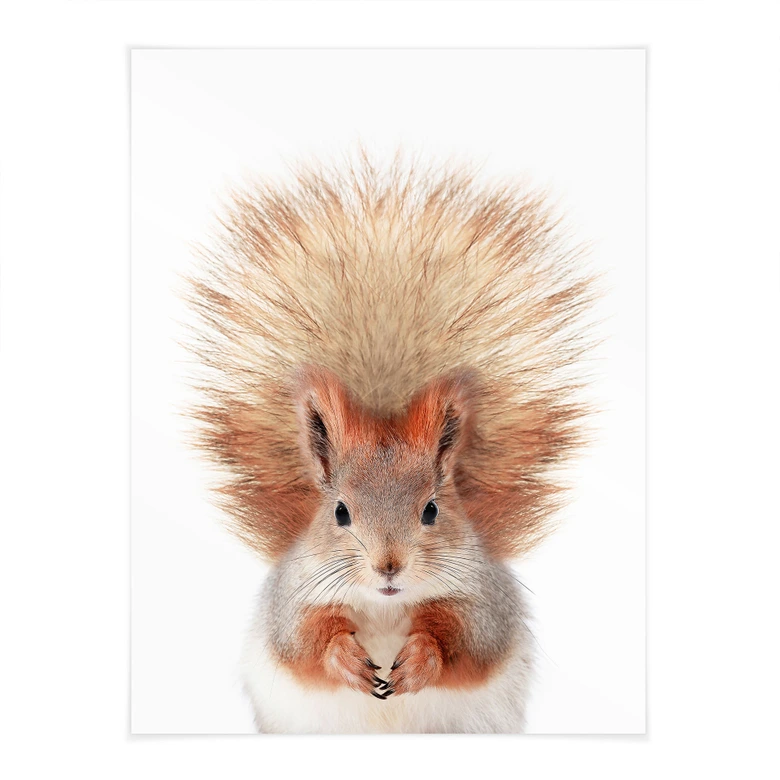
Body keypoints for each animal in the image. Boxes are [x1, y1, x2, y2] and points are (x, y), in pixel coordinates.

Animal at [184, 153, 595, 733]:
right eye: (339, 512)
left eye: (432, 510)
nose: (388, 566)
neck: (382, 605)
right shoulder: (294, 600)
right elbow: (305, 643)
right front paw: (346, 659)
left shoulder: (482, 602)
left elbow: (465, 642)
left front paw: (420, 660)